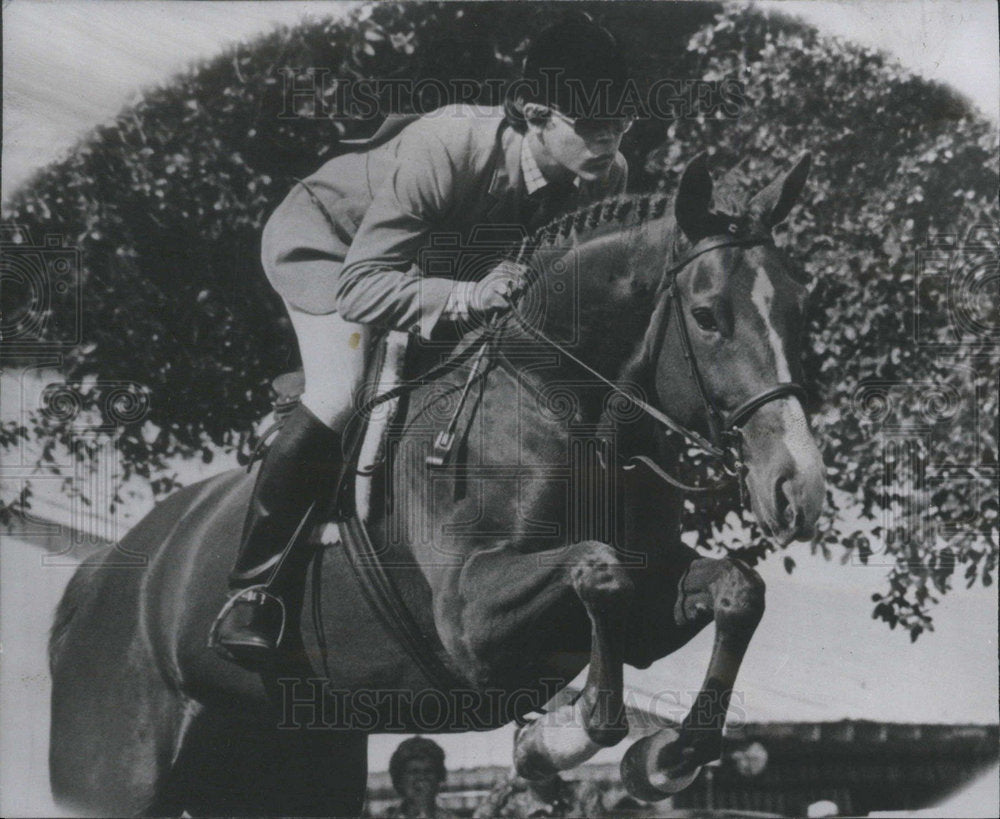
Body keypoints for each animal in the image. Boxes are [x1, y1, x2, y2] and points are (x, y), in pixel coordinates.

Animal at [50, 152, 824, 812]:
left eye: (799, 306)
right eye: (706, 315)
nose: (797, 488)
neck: (562, 409)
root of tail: (96, 576)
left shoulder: (647, 602)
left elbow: (736, 590)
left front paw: (665, 755)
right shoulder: (470, 619)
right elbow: (599, 571)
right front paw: (555, 739)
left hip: (290, 756)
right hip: (111, 775)